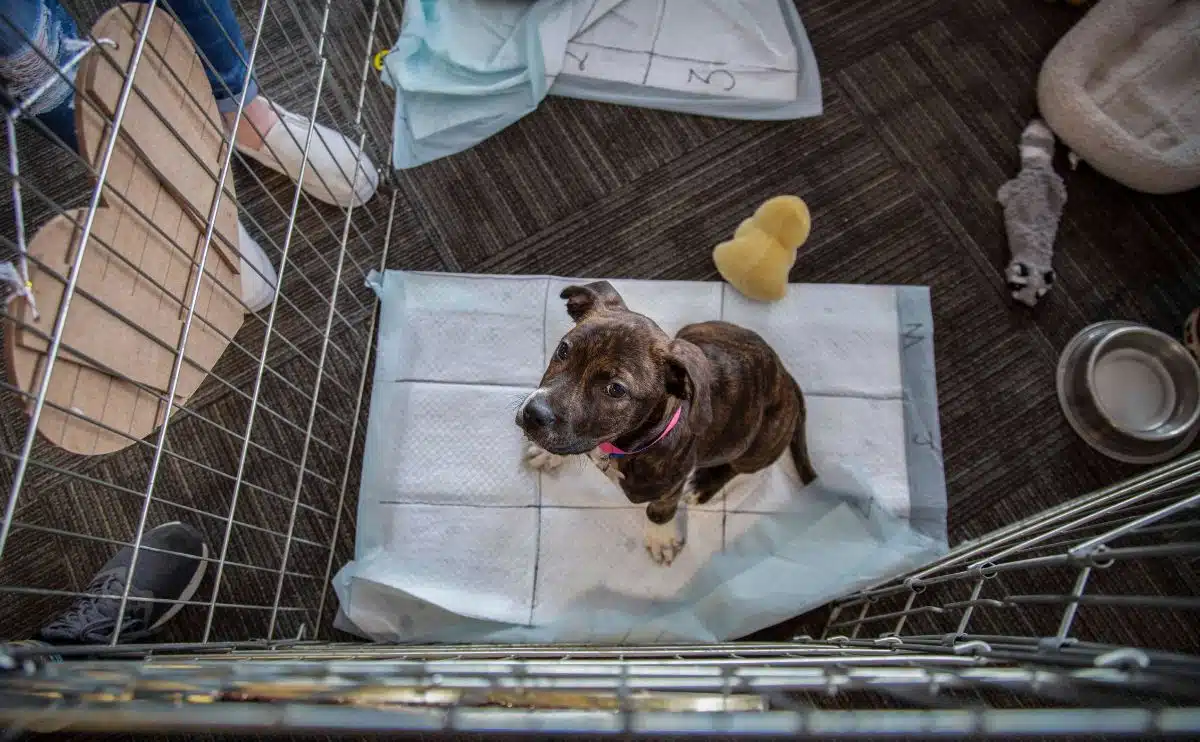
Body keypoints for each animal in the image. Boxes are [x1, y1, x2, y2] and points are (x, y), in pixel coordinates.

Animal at [516, 279, 816, 564]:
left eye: (615, 389)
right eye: (563, 350)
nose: (534, 414)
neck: (618, 445)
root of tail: (786, 378)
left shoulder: (669, 488)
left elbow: (659, 512)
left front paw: (661, 539)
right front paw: (547, 453)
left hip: (757, 445)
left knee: (740, 468)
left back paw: (703, 486)